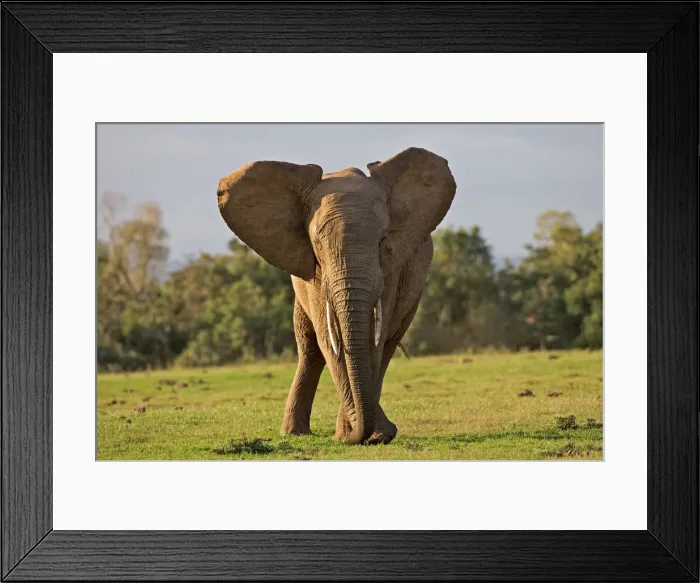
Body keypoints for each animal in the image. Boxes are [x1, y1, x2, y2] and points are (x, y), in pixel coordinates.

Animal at [217, 147, 456, 444]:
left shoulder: (391, 267)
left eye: (382, 241)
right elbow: (328, 339)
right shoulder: (315, 272)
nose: (359, 434)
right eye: (317, 244)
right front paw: (353, 435)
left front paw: (370, 436)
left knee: (388, 344)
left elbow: (373, 337)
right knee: (310, 346)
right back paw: (295, 433)